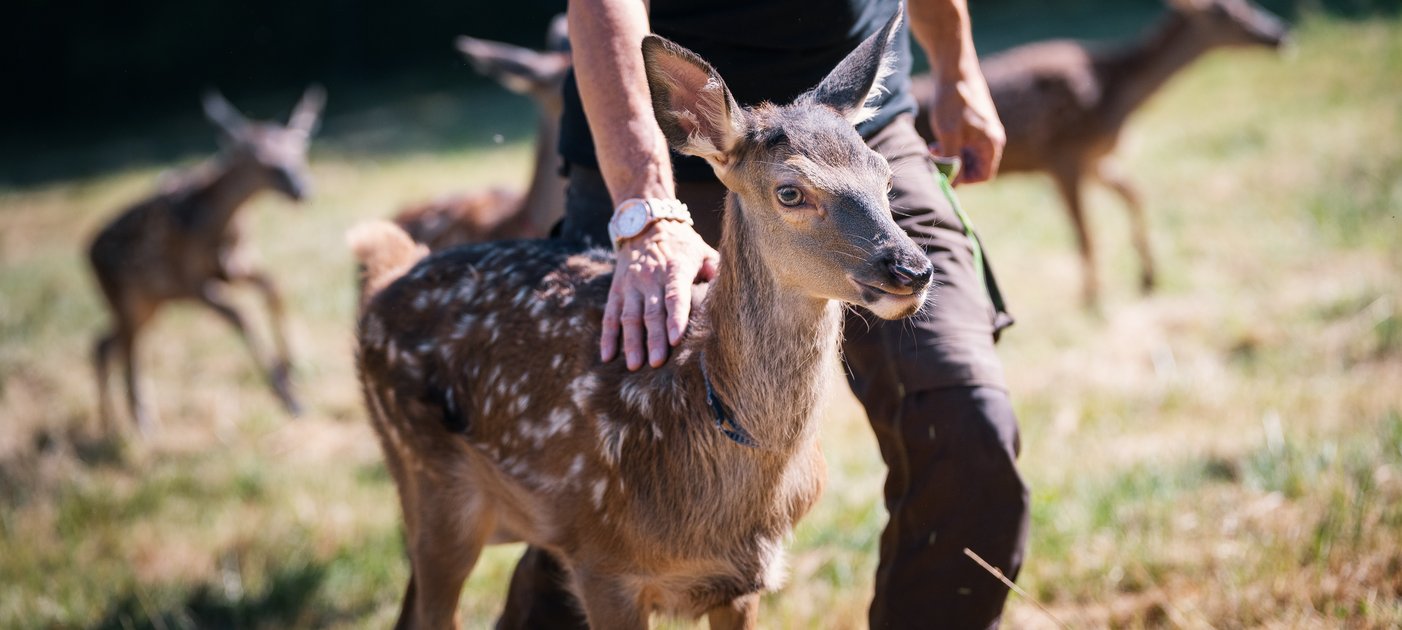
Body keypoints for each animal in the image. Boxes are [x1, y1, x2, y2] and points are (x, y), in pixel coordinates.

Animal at [88, 86, 325, 432]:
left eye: (299, 152)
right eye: (263, 163)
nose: (302, 189)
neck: (221, 226)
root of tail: (87, 251)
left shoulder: (234, 267)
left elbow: (273, 286)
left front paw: (293, 366)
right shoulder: (189, 281)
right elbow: (241, 316)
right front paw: (289, 399)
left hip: (149, 303)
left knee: (103, 344)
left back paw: (110, 424)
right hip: (126, 297)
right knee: (127, 347)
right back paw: (142, 422)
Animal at [914, 0, 1284, 308]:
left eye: (1248, 4)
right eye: (1225, 14)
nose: (1277, 34)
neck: (1116, 93)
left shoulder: (1094, 159)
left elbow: (1134, 194)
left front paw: (1148, 278)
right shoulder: (1065, 156)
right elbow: (1086, 235)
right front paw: (1093, 299)